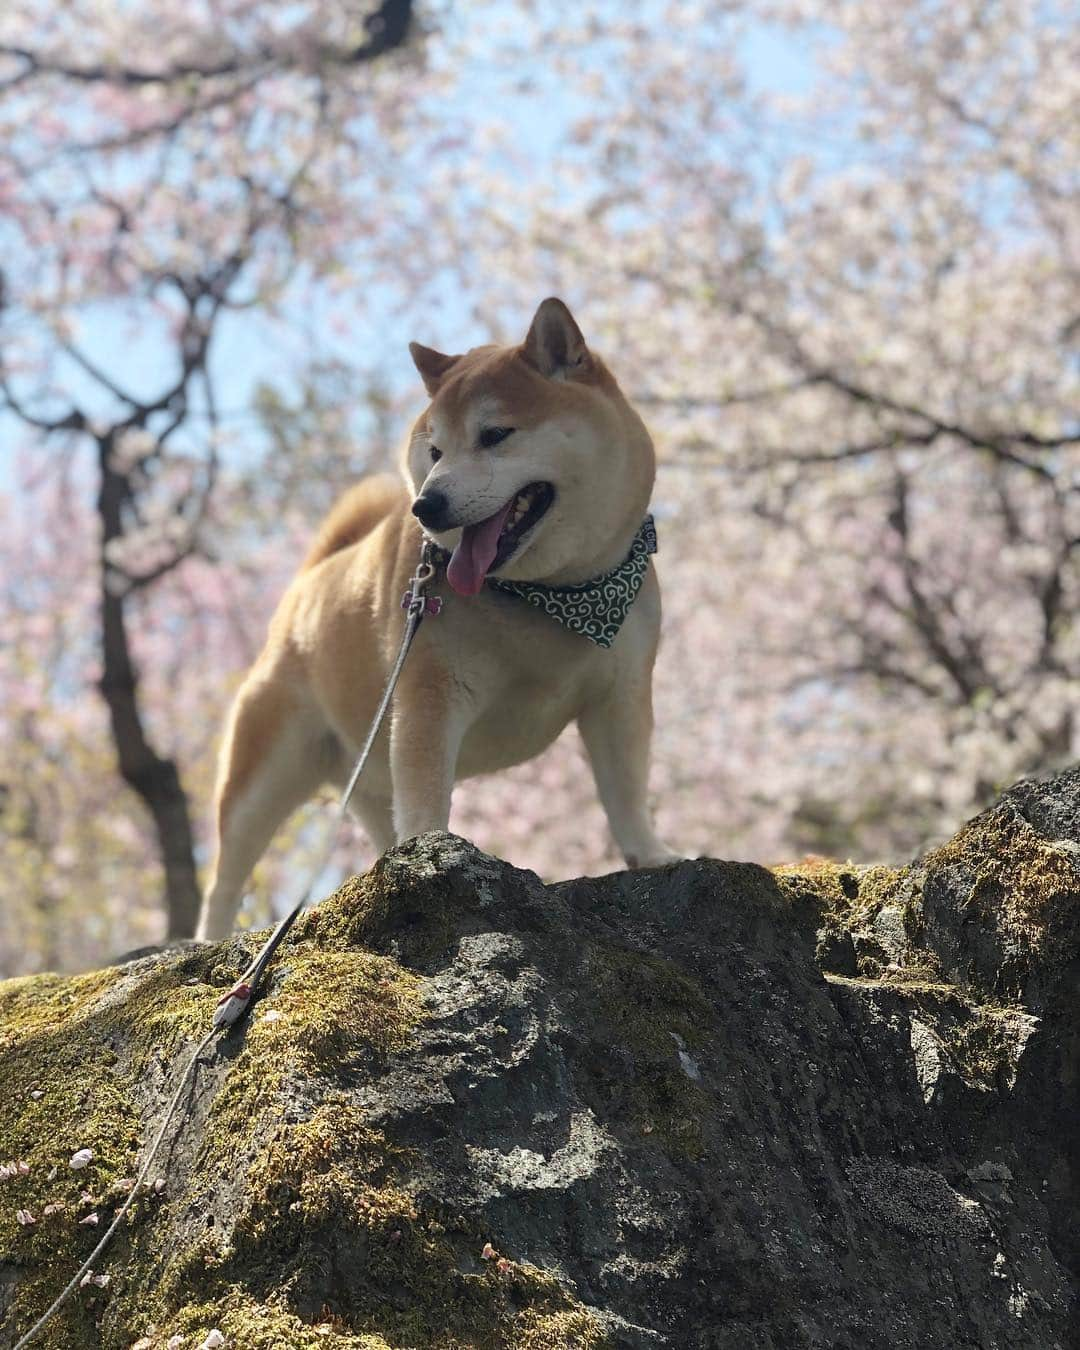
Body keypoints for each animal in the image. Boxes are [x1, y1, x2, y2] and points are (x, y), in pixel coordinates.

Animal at [195, 298, 675, 939]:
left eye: (495, 435)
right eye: (435, 451)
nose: (427, 503)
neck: (548, 596)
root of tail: (306, 583)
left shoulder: (620, 694)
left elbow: (625, 790)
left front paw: (651, 854)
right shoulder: (431, 690)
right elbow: (427, 794)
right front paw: (435, 858)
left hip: (368, 771)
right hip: (264, 771)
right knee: (226, 875)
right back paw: (209, 938)